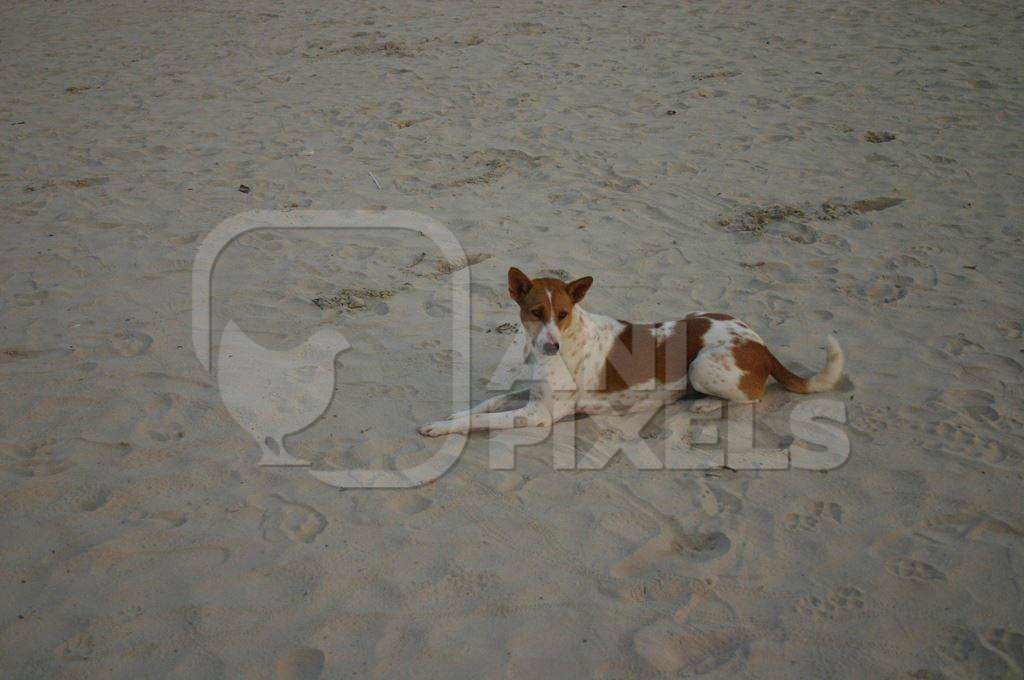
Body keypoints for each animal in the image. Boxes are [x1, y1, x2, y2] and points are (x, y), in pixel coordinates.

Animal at [415, 266, 839, 436]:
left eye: (562, 314)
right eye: (536, 312)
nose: (551, 346)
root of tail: (762, 345)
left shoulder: (538, 415)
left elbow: (485, 419)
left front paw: (441, 427)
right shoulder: (531, 393)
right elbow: (489, 402)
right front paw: (455, 412)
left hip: (703, 366)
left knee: (752, 395)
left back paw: (703, 404)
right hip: (698, 316)